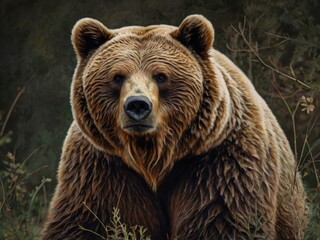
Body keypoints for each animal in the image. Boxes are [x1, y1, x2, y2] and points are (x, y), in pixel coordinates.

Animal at [40, 15, 308, 240]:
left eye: (161, 76)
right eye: (117, 76)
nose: (138, 105)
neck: (152, 158)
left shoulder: (219, 163)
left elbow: (223, 222)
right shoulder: (102, 168)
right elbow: (88, 222)